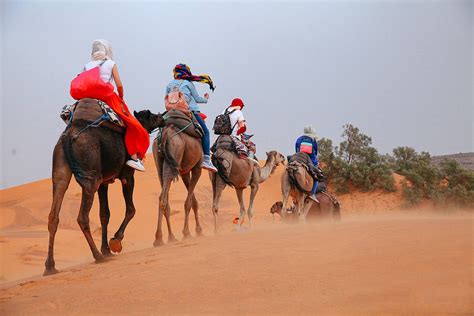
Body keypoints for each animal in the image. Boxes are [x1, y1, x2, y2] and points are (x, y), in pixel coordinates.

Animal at [44, 100, 159, 276]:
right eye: (151, 116)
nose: (162, 116)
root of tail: (69, 137)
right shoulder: (127, 175)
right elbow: (131, 209)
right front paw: (115, 242)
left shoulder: (104, 182)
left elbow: (104, 214)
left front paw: (106, 249)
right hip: (91, 175)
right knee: (82, 217)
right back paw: (97, 256)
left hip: (61, 168)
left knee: (53, 215)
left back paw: (50, 266)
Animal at [136, 110, 205, 246]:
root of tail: (164, 135)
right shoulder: (197, 168)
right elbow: (189, 202)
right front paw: (189, 232)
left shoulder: (184, 171)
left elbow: (193, 201)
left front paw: (197, 230)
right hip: (174, 155)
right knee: (163, 197)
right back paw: (160, 238)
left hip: (160, 162)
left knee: (163, 197)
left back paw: (168, 237)